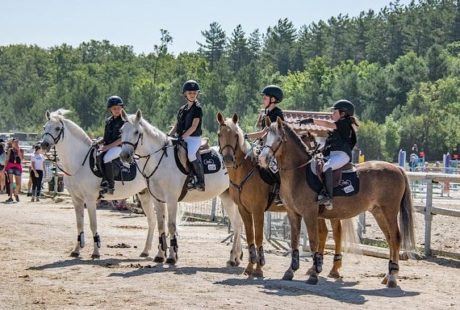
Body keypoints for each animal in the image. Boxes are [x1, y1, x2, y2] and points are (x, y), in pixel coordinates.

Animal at [41, 109, 156, 260]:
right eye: (44, 127)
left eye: (57, 128)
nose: (43, 145)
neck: (79, 162)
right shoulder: (76, 199)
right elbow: (79, 224)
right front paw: (76, 250)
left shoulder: (90, 199)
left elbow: (93, 224)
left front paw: (95, 252)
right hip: (144, 194)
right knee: (152, 220)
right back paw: (146, 251)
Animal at [118, 110, 244, 266]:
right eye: (121, 131)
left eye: (136, 132)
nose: (124, 155)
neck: (160, 159)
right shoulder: (157, 199)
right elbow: (161, 225)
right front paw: (160, 255)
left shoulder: (171, 199)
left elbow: (171, 225)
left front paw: (172, 257)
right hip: (226, 197)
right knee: (238, 224)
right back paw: (236, 257)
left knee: (237, 224)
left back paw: (233, 258)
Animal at [217, 112, 354, 280]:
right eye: (220, 134)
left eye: (236, 135)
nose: (228, 159)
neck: (246, 171)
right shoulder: (244, 209)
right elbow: (249, 237)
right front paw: (249, 267)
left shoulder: (257, 210)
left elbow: (258, 237)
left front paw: (258, 268)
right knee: (323, 233)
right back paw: (315, 268)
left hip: (330, 213)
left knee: (337, 233)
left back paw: (334, 269)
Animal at [258, 117, 416, 286]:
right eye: (264, 138)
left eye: (279, 139)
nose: (262, 159)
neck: (299, 174)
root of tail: (397, 168)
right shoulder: (293, 213)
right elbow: (295, 241)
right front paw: (291, 271)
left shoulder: (310, 214)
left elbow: (314, 241)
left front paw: (314, 274)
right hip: (379, 212)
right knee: (390, 238)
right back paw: (388, 275)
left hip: (390, 211)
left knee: (396, 237)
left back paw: (392, 277)